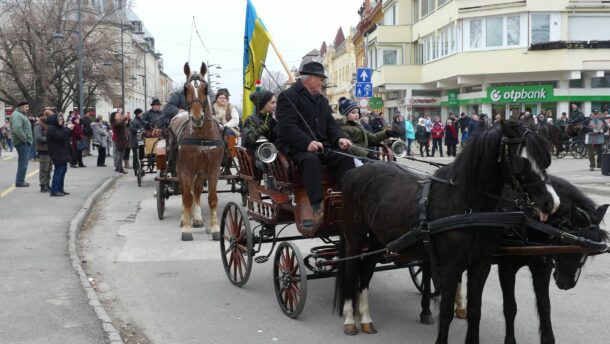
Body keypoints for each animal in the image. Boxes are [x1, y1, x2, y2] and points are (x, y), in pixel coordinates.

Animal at [169, 61, 223, 241]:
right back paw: (184, 217)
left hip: (200, 172)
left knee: (197, 190)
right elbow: (186, 197)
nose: (197, 117)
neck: (201, 135)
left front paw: (215, 228)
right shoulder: (185, 168)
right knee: (186, 191)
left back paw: (197, 217)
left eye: (205, 89)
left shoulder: (213, 169)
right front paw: (186, 229)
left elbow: (211, 198)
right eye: (186, 89)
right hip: (180, 168)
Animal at [332, 121, 556, 344]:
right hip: (355, 238)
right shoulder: (451, 266)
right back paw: (350, 319)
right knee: (351, 271)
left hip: (378, 240)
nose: (550, 202)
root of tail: (355, 172)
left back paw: (366, 318)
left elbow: (475, 311)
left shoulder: (480, 265)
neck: (467, 206)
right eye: (521, 161)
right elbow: (446, 312)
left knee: (366, 272)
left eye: (546, 158)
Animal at [496, 176, 604, 342]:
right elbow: (510, 307)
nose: (568, 283)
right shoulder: (506, 268)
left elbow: (545, 306)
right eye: (568, 244)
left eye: (586, 252)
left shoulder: (542, 267)